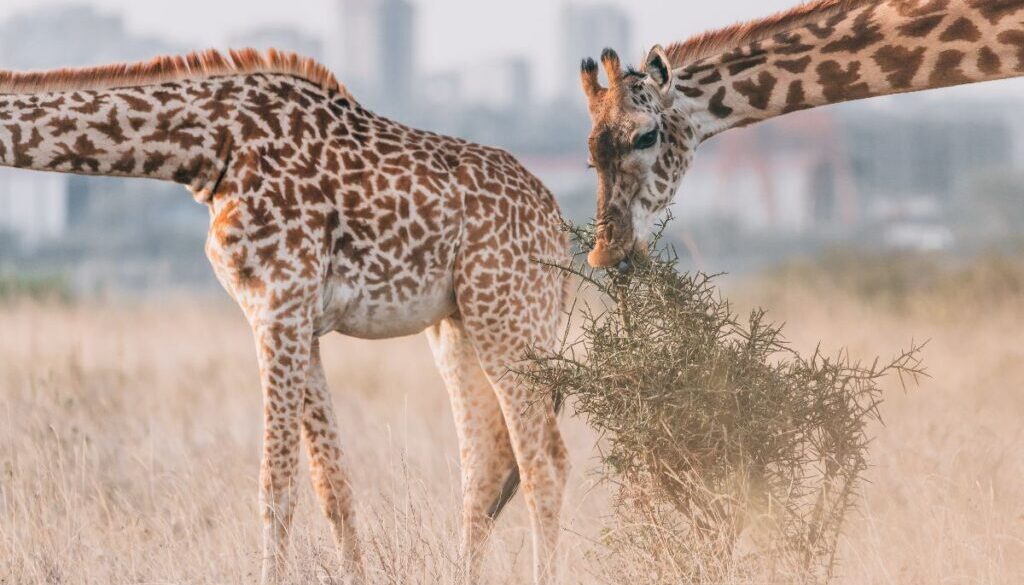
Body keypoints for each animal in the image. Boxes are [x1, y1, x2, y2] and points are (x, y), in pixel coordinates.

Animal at [0, 50, 573, 585]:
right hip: (460, 323)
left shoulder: (278, 305)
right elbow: (333, 486)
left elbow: (275, 485)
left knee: (544, 463)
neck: (207, 148)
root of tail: (558, 225)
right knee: (486, 467)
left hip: (510, 314)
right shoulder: (299, 320)